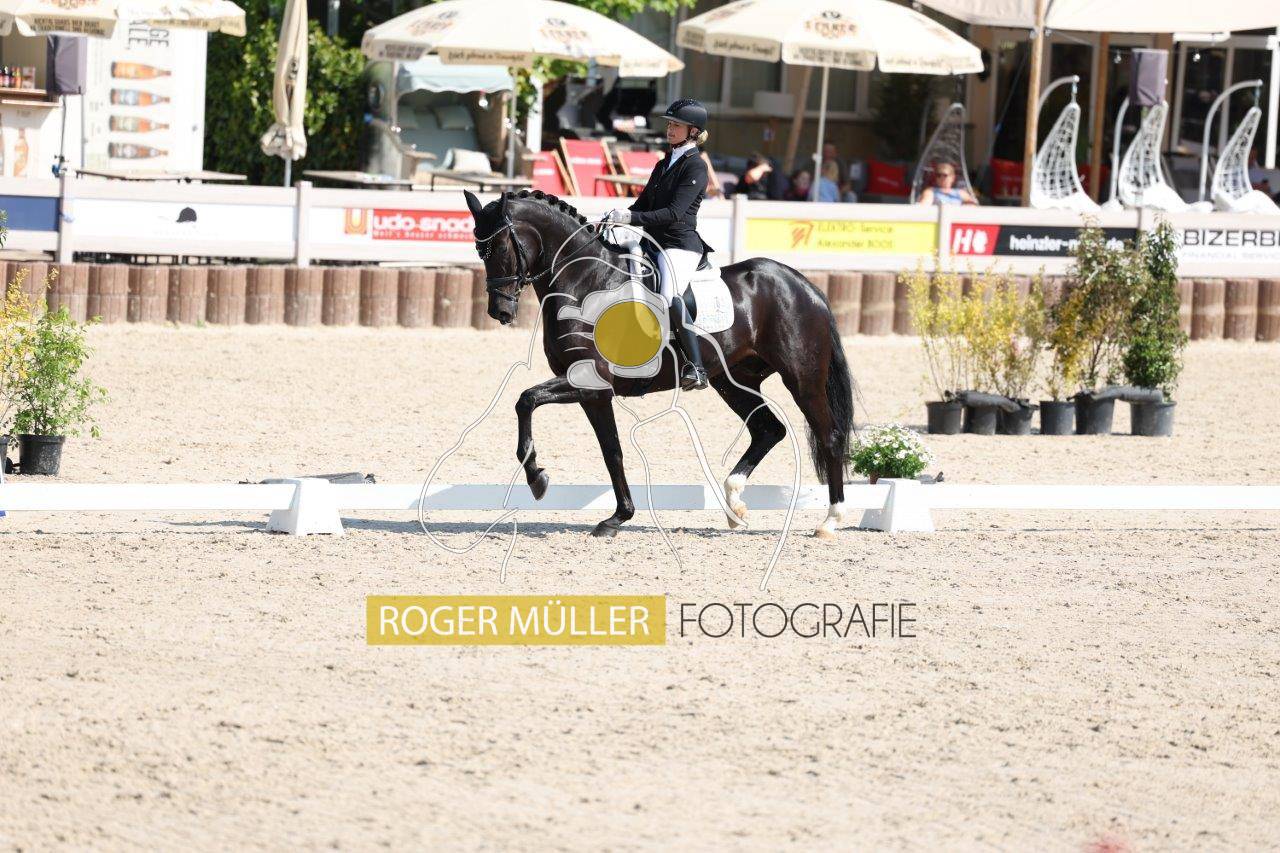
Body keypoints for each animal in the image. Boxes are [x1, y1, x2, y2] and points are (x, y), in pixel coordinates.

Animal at [463, 188, 854, 539]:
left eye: (500, 248)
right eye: (480, 250)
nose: (500, 312)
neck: (585, 282)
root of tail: (805, 286)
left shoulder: (589, 382)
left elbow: (526, 400)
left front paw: (538, 479)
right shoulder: (592, 393)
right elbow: (611, 451)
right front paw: (616, 518)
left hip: (802, 378)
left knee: (829, 435)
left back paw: (830, 521)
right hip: (734, 381)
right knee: (768, 429)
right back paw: (734, 508)